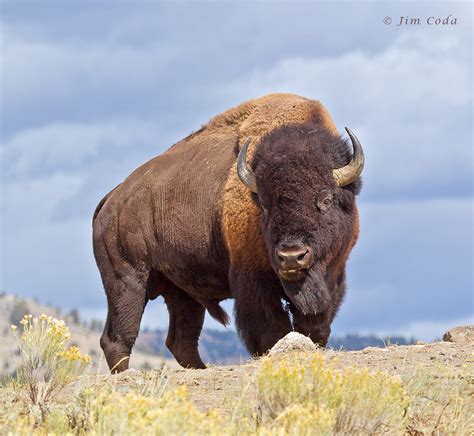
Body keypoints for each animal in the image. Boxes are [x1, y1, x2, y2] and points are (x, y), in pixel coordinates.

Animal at [93, 93, 366, 372]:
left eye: (326, 199)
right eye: (264, 204)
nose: (291, 256)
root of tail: (112, 199)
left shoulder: (332, 278)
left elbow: (315, 328)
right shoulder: (253, 282)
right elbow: (271, 332)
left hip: (181, 292)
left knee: (180, 340)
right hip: (127, 281)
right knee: (119, 337)